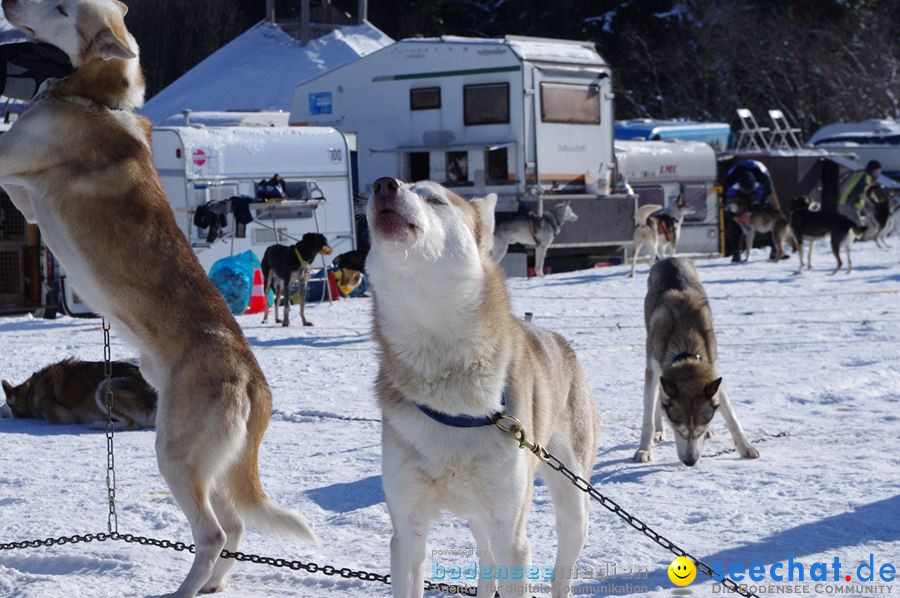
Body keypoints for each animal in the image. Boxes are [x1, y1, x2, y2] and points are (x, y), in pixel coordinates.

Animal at [1, 356, 156, 432]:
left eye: (6, 403)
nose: (0, 410)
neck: (30, 392)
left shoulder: (63, 417)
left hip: (103, 388)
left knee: (131, 425)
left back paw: (100, 425)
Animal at [366, 178, 596, 598]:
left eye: (434, 198)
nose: (383, 184)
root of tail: (559, 341)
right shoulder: (407, 533)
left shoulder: (512, 536)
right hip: (478, 517)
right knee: (486, 562)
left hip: (573, 504)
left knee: (562, 572)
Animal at [632, 258, 760, 468]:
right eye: (679, 430)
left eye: (700, 429)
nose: (690, 462)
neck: (685, 349)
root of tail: (669, 259)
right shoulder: (652, 370)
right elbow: (648, 418)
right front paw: (644, 450)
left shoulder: (713, 373)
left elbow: (731, 417)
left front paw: (745, 446)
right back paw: (659, 431)